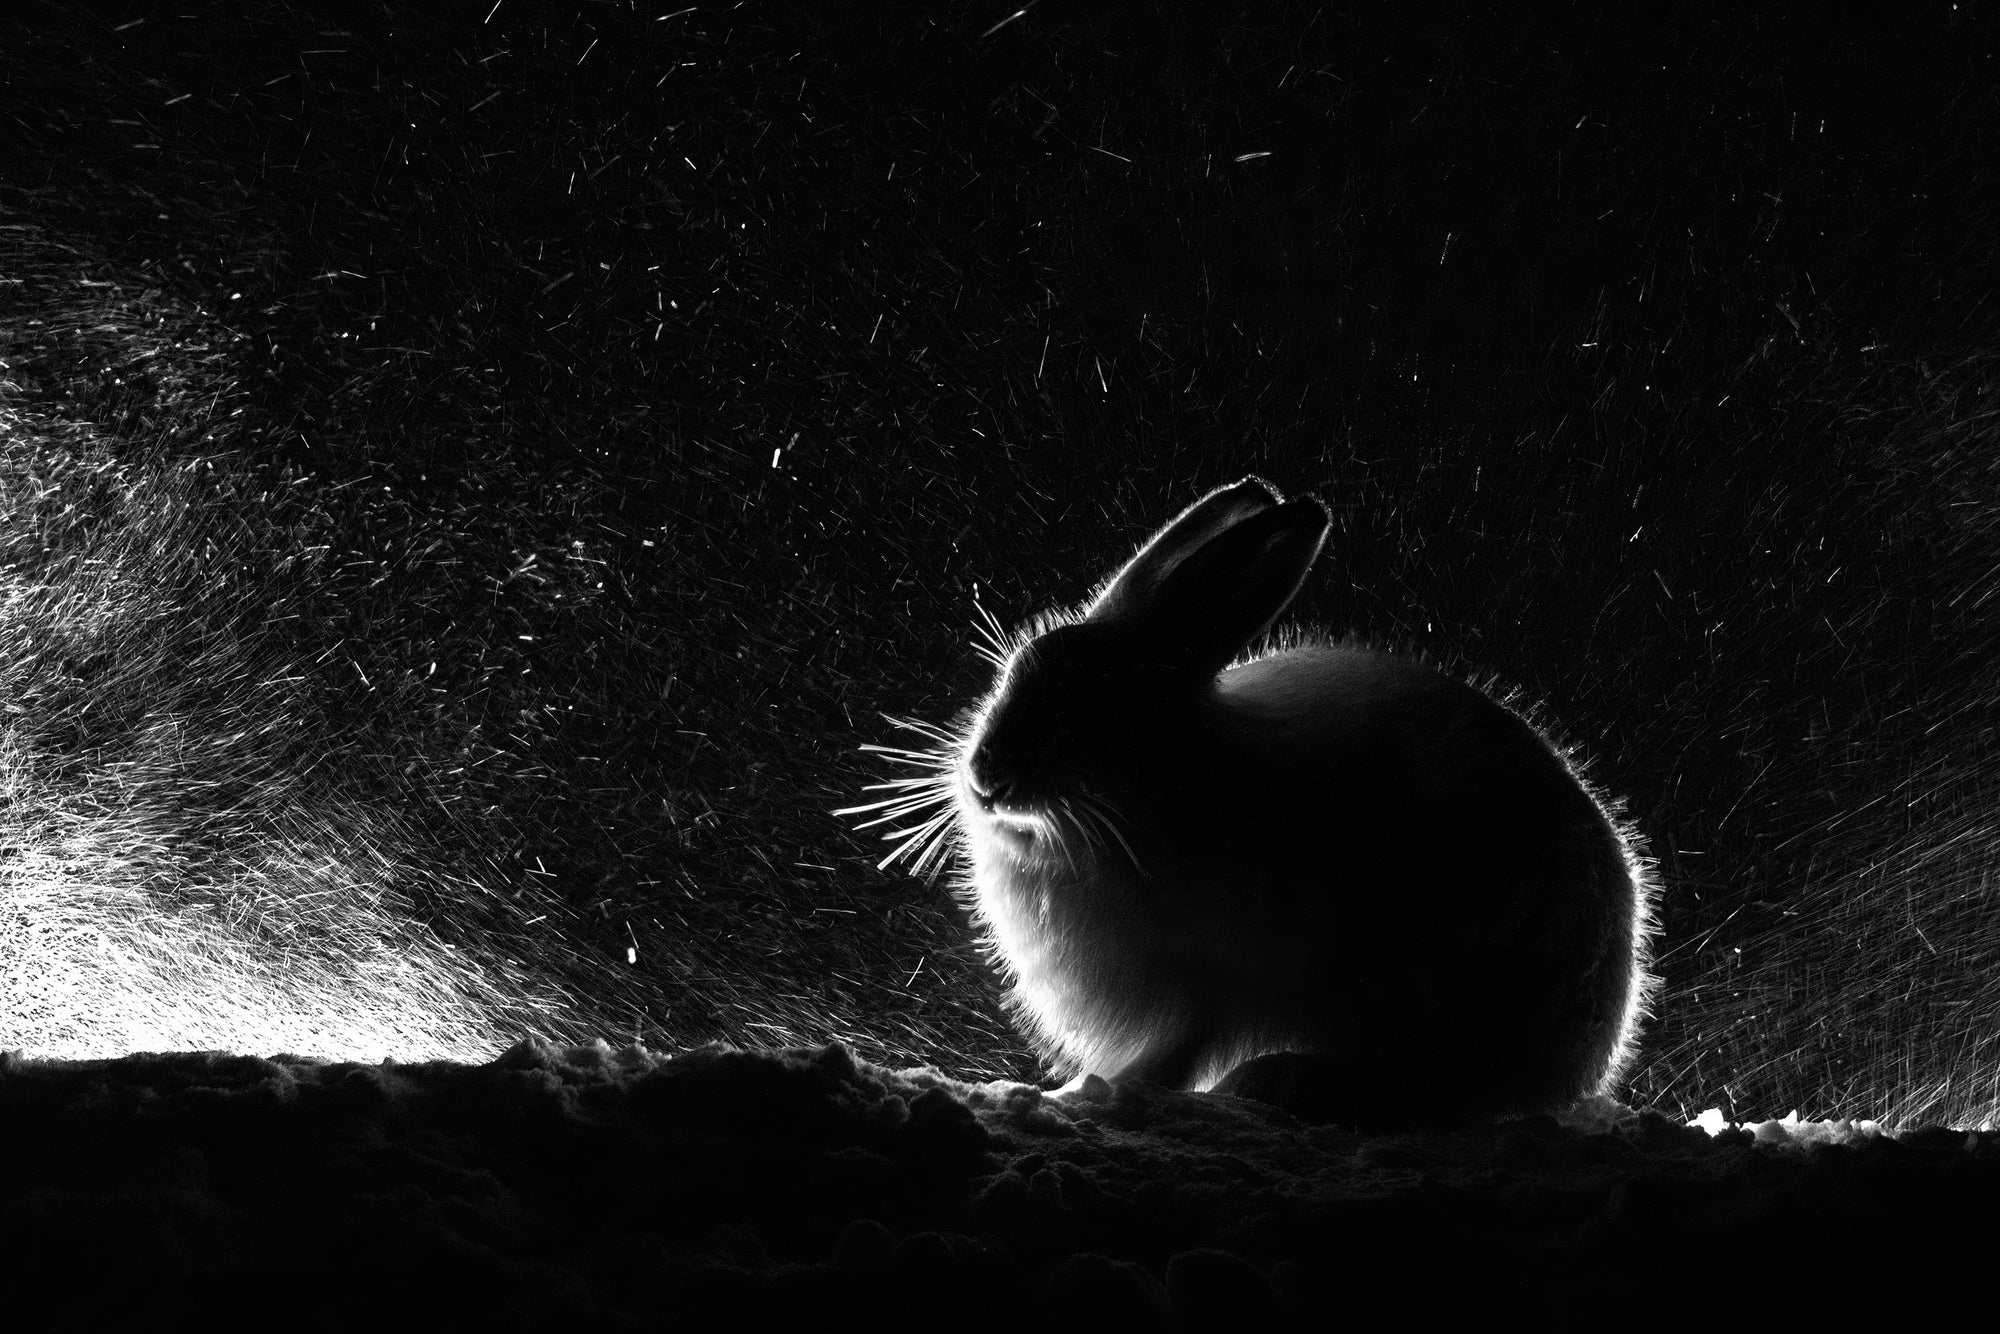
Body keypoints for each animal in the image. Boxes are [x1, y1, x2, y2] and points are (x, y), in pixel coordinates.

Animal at [845, 475, 1659, 1129]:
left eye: (1103, 711)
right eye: (1017, 673)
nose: (988, 778)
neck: (1158, 783)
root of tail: (1575, 1060)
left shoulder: (1210, 988)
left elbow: (1175, 1056)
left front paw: (1091, 1095)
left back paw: (1284, 1082)